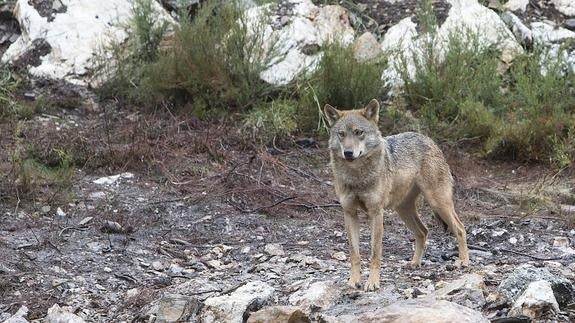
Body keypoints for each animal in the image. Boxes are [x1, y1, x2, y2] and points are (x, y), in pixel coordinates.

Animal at [322, 98, 470, 292]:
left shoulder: (376, 213)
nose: (348, 153)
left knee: (460, 228)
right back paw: (415, 263)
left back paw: (463, 261)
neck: (357, 176)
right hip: (404, 210)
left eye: (358, 132)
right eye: (341, 134)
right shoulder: (349, 213)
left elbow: (375, 254)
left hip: (438, 203)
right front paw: (354, 281)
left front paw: (372, 282)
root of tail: (429, 139)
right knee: (423, 231)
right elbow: (354, 254)